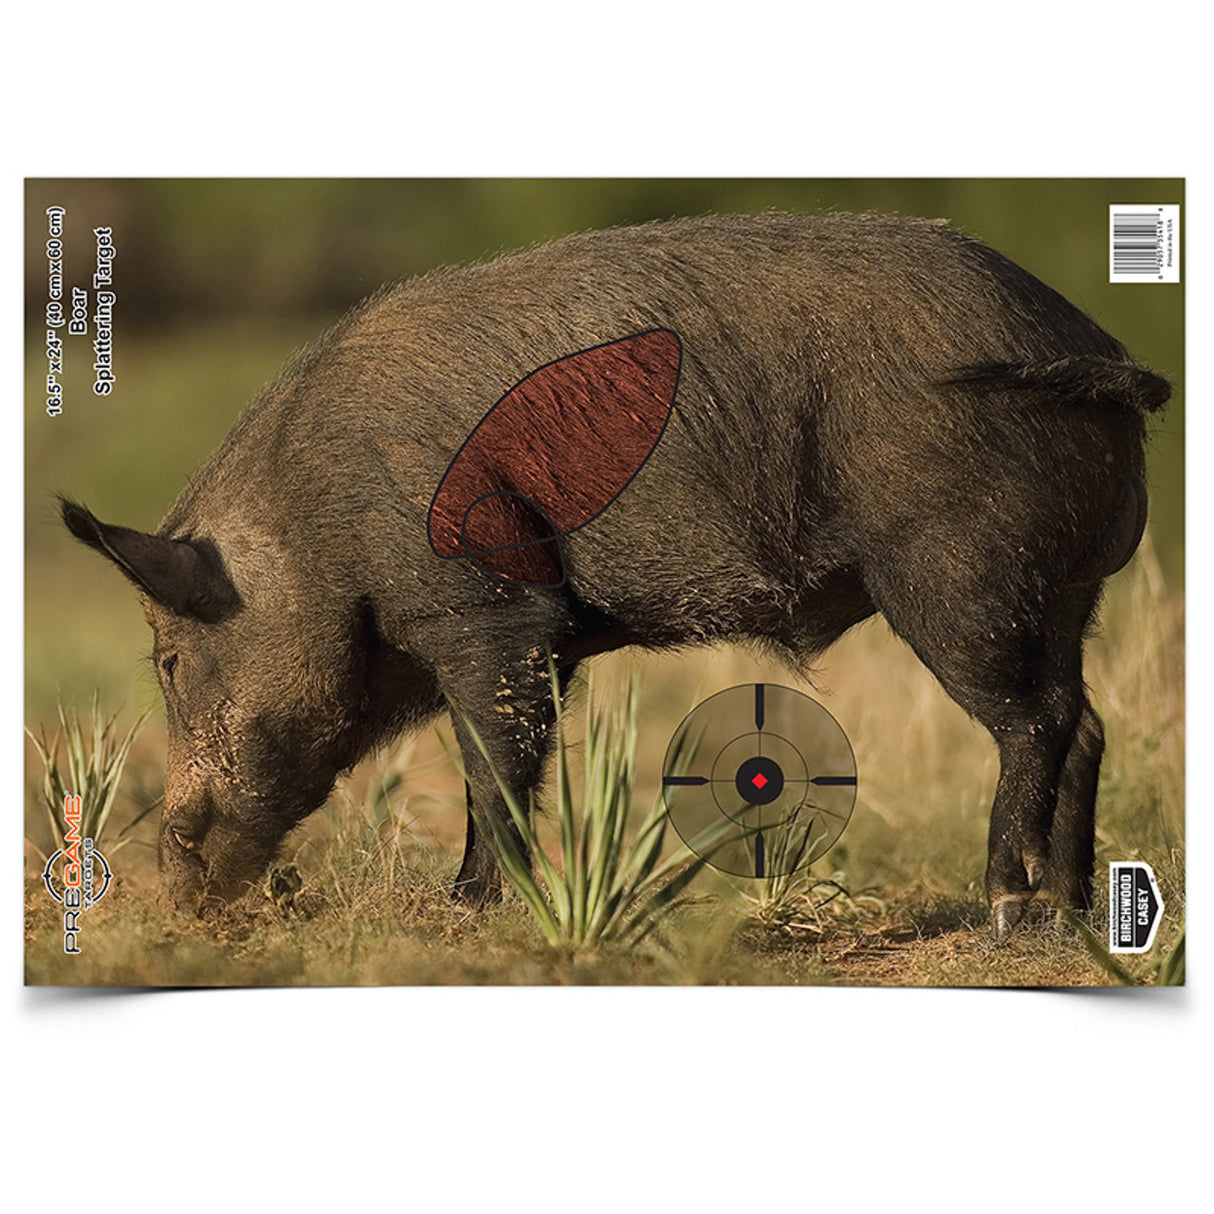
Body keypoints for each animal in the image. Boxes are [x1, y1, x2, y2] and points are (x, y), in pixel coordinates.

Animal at [61, 211, 1170, 939]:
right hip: (1065, 594)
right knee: (1084, 721)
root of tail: (1096, 347)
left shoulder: (489, 610)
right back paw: (1072, 912)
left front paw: (463, 912)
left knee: (1036, 722)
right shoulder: (538, 637)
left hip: (960, 576)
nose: (171, 882)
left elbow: (493, 765)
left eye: (170, 658)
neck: (315, 532)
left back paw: (1006, 906)